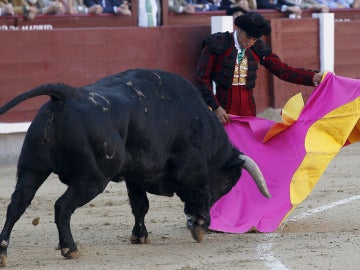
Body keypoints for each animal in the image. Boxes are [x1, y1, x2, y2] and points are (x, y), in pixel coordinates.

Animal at [0, 68, 270, 264]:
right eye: (227, 185)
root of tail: (68, 94)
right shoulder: (192, 174)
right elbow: (194, 196)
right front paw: (200, 226)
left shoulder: (136, 175)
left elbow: (140, 205)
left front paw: (139, 236)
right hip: (91, 180)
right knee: (62, 207)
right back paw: (70, 248)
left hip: (32, 169)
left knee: (16, 205)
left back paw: (3, 251)